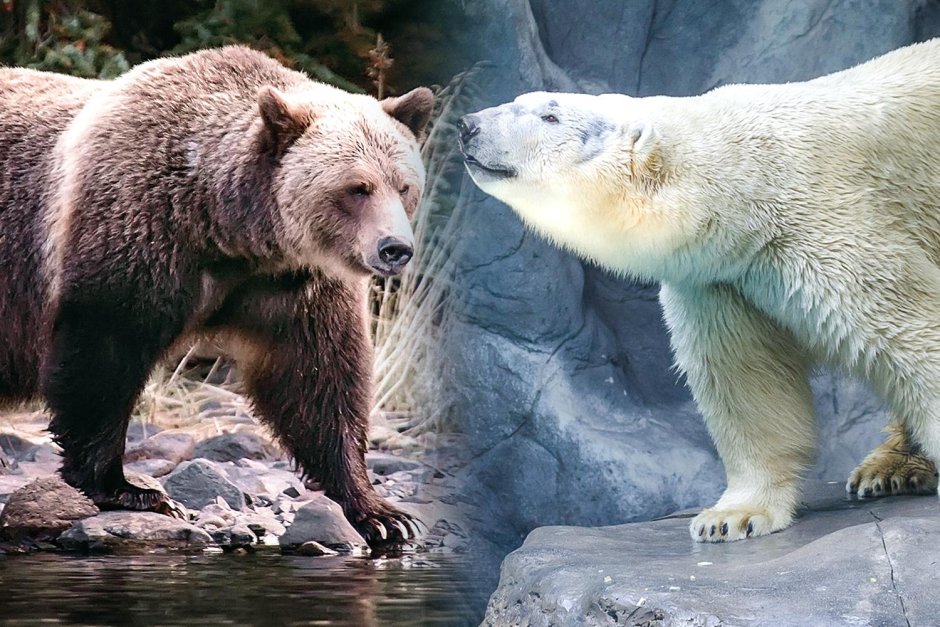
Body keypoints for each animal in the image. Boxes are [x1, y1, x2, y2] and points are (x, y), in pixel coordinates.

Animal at [0, 46, 434, 545]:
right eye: (357, 187)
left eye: (403, 185)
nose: (395, 248)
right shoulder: (134, 237)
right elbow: (102, 359)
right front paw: (129, 489)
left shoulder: (297, 287)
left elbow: (319, 379)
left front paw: (380, 512)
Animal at [458, 38, 940, 542]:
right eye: (520, 100)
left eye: (550, 116)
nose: (468, 126)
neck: (748, 180)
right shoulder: (722, 278)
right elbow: (748, 382)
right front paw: (731, 516)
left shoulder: (830, 228)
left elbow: (912, 334)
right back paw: (890, 467)